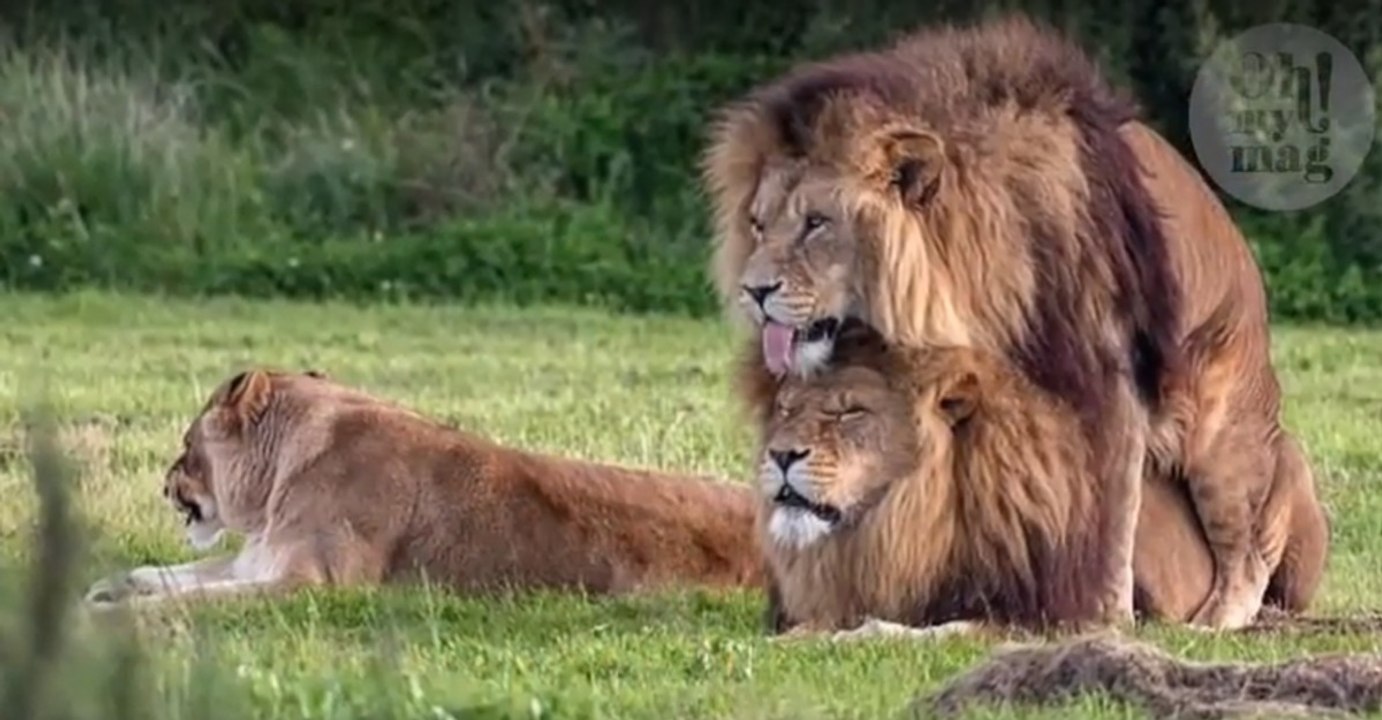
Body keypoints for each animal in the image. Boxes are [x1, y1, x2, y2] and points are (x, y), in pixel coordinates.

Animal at [83, 369, 765, 608]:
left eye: (186, 446)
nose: (164, 483)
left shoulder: (314, 585)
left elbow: (192, 601)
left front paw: (111, 618)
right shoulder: (257, 559)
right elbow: (163, 575)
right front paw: (105, 586)